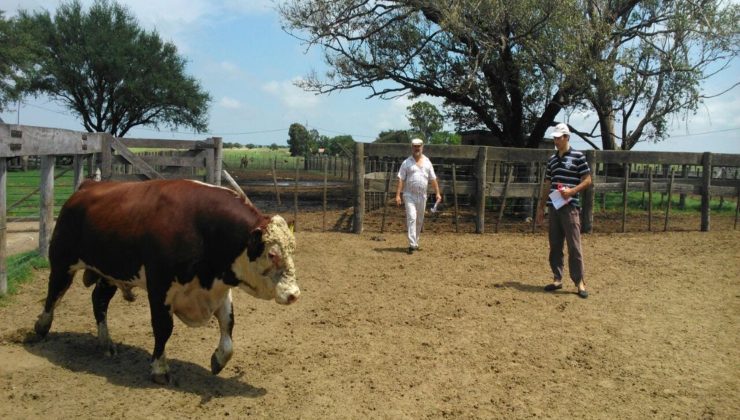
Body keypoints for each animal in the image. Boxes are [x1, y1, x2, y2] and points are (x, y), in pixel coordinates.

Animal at [34, 178, 300, 384]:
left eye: (292, 249)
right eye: (272, 254)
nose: (294, 294)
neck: (203, 228)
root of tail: (88, 185)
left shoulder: (218, 289)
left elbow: (228, 325)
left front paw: (218, 359)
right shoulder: (160, 287)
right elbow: (163, 328)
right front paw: (159, 369)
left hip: (110, 273)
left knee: (99, 300)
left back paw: (106, 343)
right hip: (62, 262)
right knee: (53, 294)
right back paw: (41, 328)